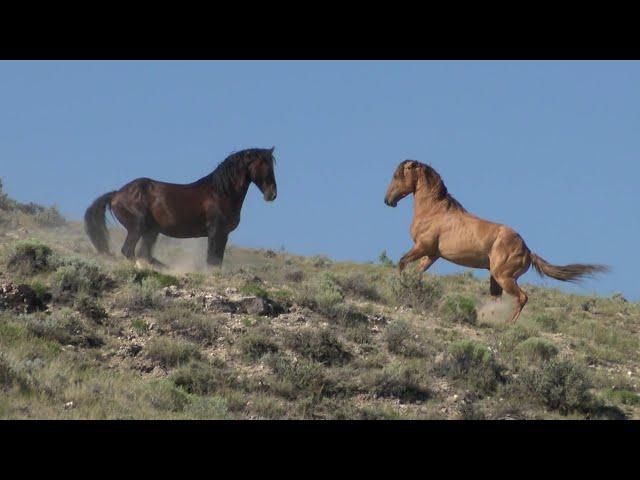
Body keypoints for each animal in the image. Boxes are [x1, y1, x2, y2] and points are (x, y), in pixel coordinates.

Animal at [84, 146, 276, 268]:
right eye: (262, 165)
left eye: (272, 165)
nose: (272, 194)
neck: (220, 193)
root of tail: (116, 194)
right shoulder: (215, 231)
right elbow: (211, 260)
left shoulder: (224, 234)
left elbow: (218, 261)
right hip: (137, 226)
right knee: (129, 251)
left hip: (151, 231)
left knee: (144, 254)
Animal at [382, 160, 608, 322]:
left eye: (397, 175)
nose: (388, 200)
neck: (434, 211)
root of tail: (527, 251)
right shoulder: (432, 254)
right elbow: (416, 272)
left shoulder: (422, 247)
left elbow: (401, 263)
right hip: (496, 278)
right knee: (499, 299)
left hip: (504, 277)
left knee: (522, 298)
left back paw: (507, 324)